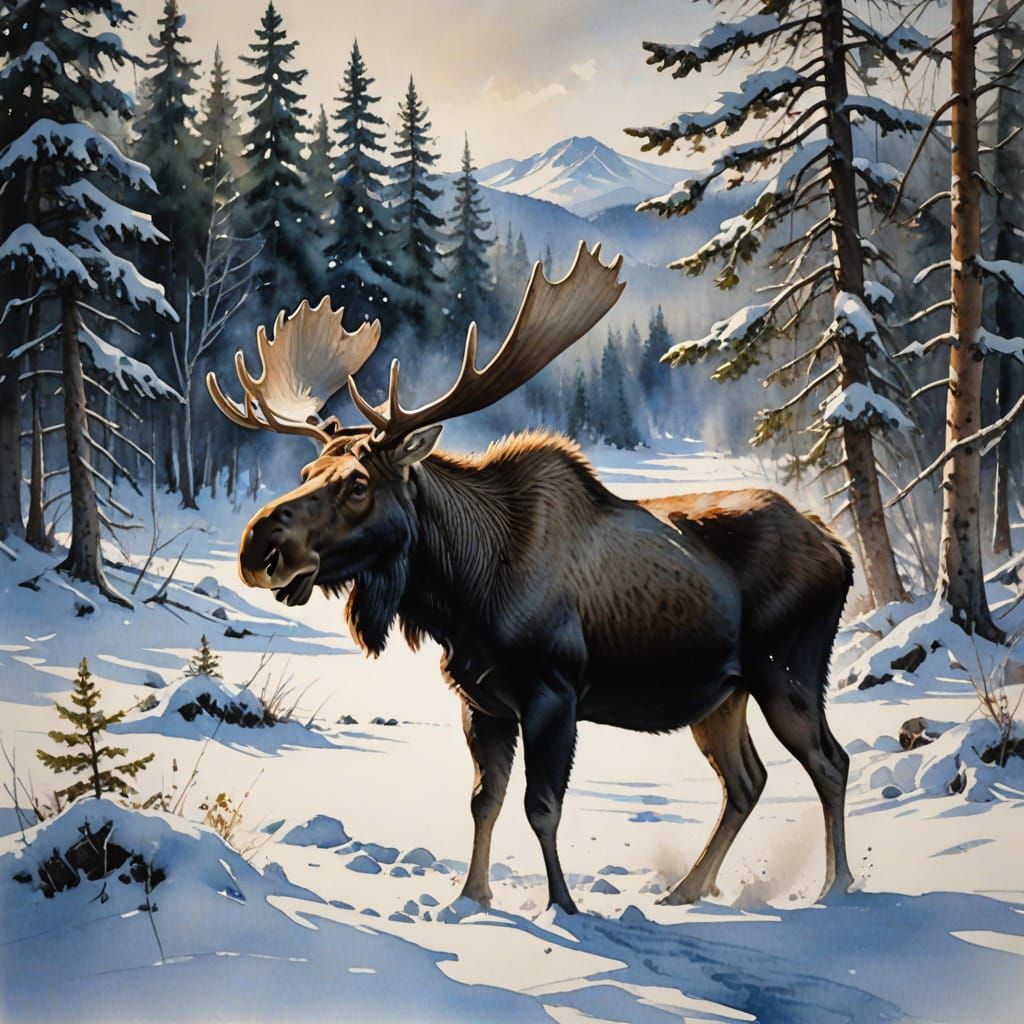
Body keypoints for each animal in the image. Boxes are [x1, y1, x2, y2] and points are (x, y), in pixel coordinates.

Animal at [208, 243, 855, 914]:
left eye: (357, 484)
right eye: (306, 471)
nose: (259, 546)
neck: (463, 594)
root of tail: (836, 545)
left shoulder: (554, 692)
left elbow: (541, 806)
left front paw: (562, 907)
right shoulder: (480, 701)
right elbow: (483, 801)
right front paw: (470, 898)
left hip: (788, 670)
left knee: (830, 762)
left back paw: (834, 887)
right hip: (722, 692)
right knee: (745, 781)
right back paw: (686, 890)